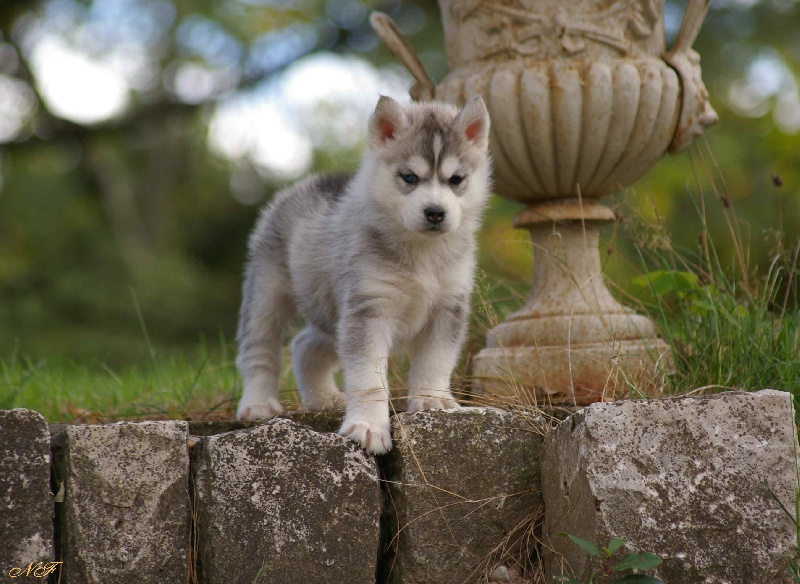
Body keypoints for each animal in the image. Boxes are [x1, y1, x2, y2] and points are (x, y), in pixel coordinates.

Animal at [234, 93, 490, 454]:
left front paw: (432, 400)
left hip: (333, 316)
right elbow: (369, 379)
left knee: (304, 344)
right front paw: (368, 427)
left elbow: (436, 360)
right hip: (267, 293)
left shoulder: (449, 307)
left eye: (456, 180)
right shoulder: (370, 310)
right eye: (409, 177)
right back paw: (257, 403)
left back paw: (324, 399)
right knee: (260, 348)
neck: (422, 252)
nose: (435, 213)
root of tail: (309, 183)